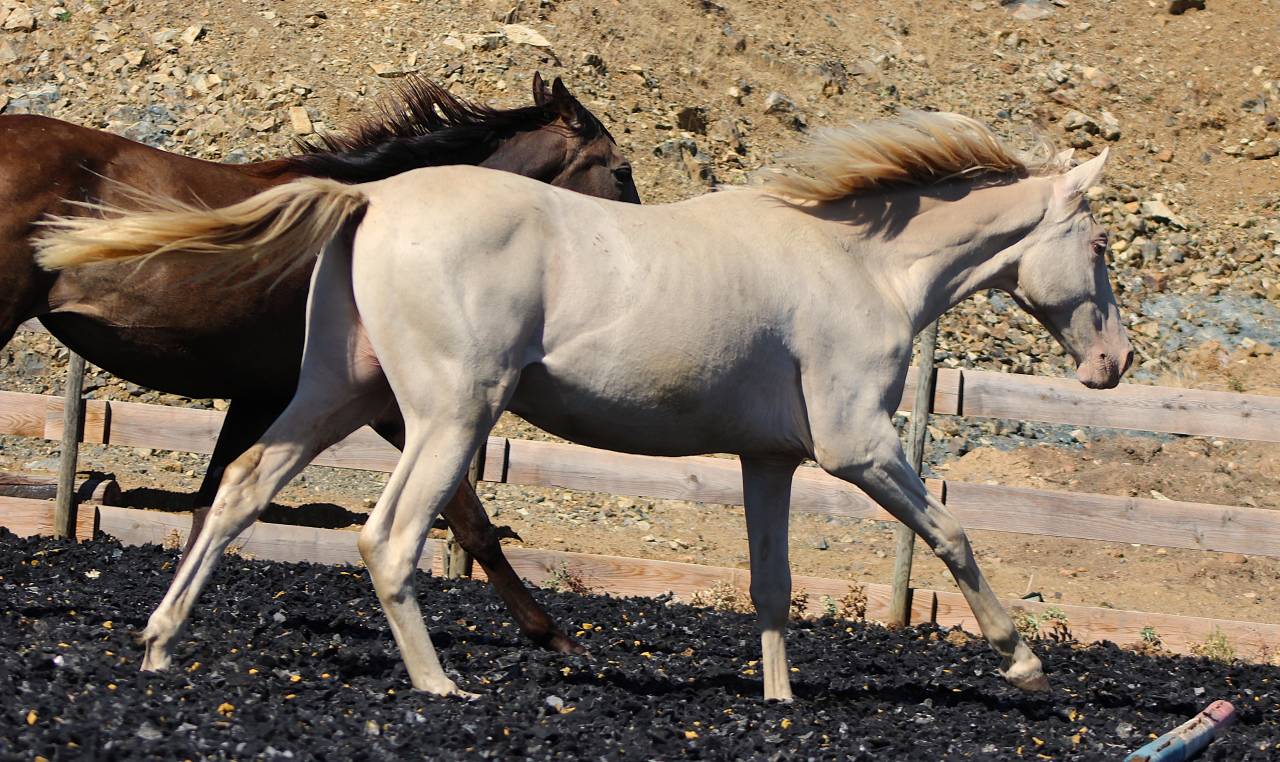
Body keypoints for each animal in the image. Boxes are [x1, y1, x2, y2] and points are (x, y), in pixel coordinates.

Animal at [5, 73, 639, 654]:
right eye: (621, 170)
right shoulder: (390, 405)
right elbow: (472, 521)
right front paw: (554, 636)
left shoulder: (260, 395)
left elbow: (214, 501)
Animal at [39, 111, 1133, 701]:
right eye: (1100, 246)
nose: (1114, 363)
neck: (861, 265)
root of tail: (373, 198)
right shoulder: (858, 448)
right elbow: (951, 535)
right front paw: (1024, 663)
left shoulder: (769, 461)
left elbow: (770, 583)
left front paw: (779, 699)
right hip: (450, 418)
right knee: (388, 538)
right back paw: (439, 686)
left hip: (335, 395)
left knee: (237, 495)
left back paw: (159, 644)